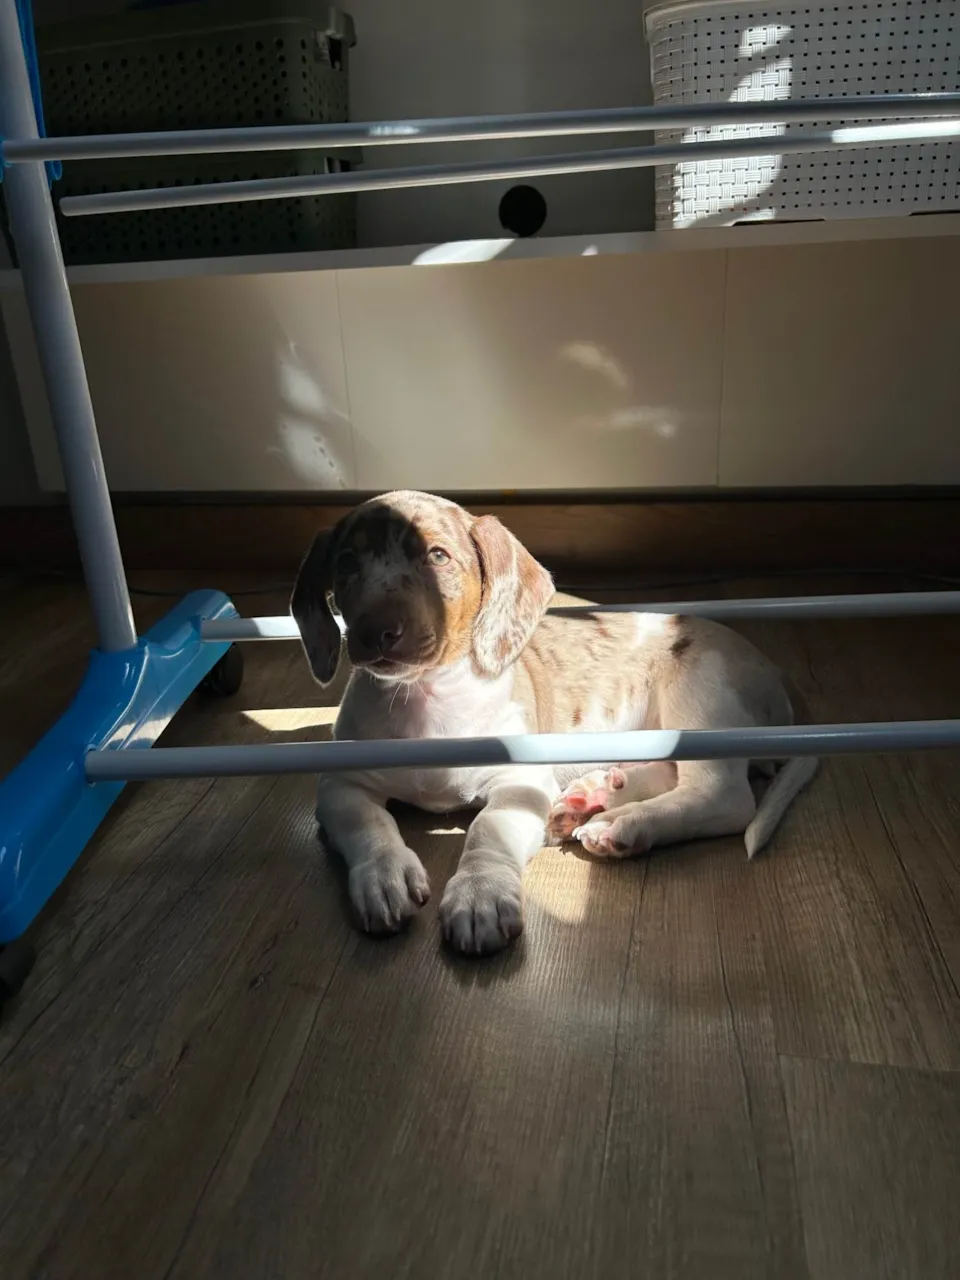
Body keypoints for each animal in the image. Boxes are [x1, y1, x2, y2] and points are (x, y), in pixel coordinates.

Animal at [291, 490, 816, 955]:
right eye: (346, 562)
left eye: (436, 555)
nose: (372, 631)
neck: (427, 699)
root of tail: (776, 673)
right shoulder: (341, 784)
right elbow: (368, 823)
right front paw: (383, 876)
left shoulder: (518, 781)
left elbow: (489, 828)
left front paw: (480, 895)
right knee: (676, 775)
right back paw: (595, 797)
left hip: (700, 693)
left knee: (724, 796)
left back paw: (624, 822)